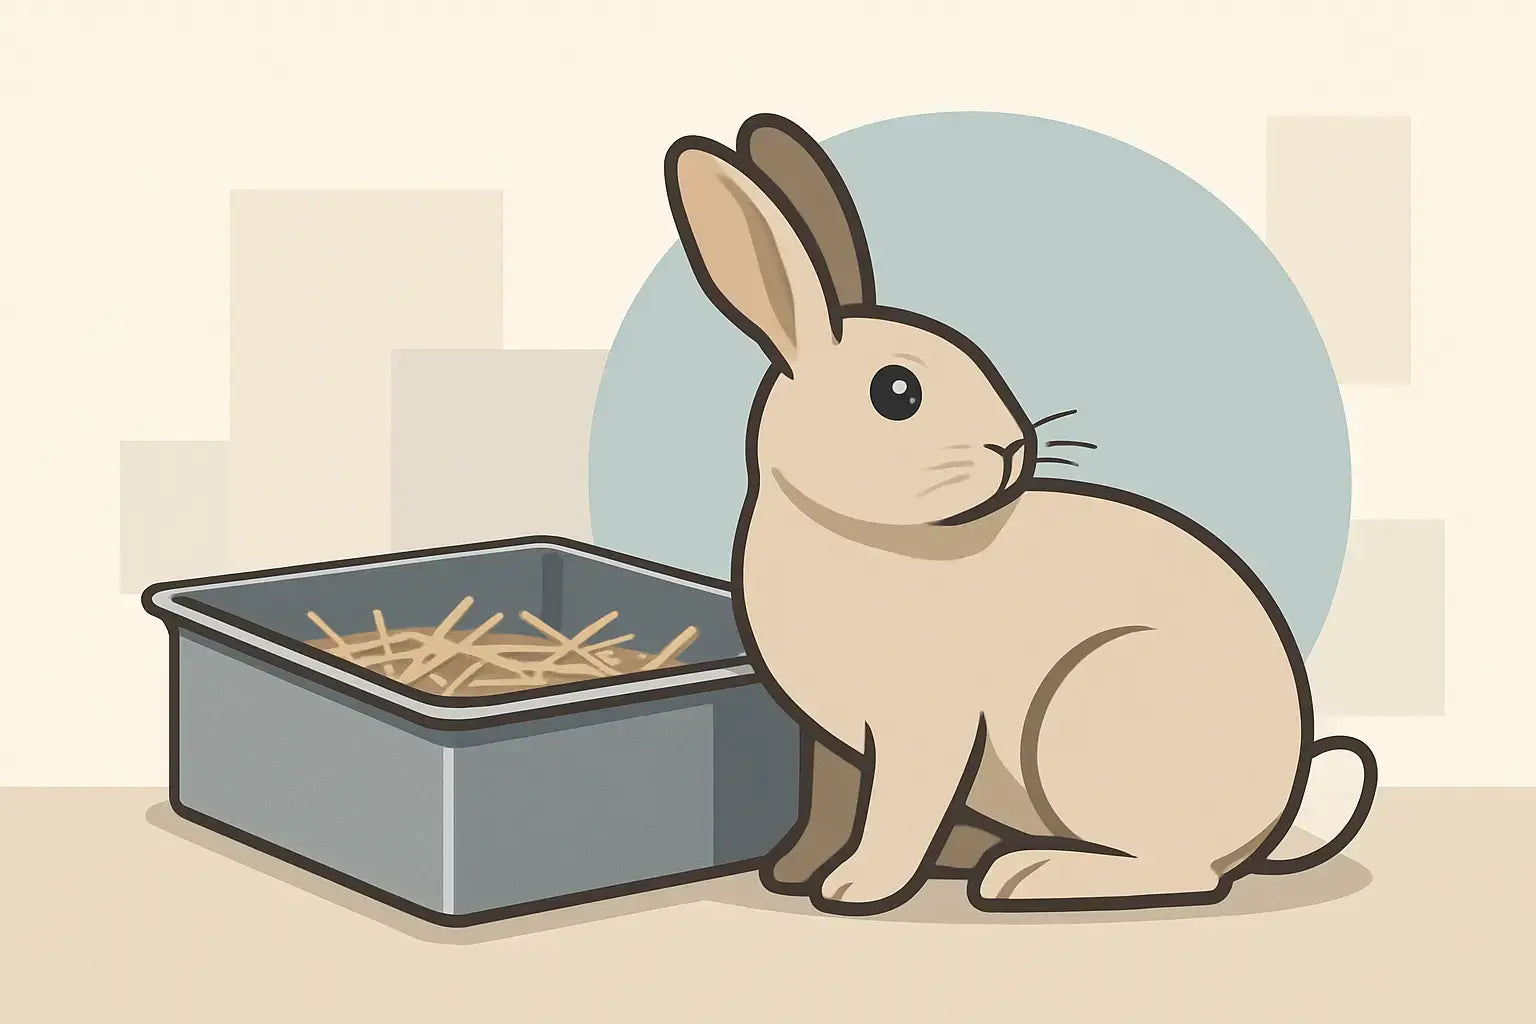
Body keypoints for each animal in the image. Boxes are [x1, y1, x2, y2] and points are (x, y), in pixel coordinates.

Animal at [663, 112, 1378, 916]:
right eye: (897, 392)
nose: (1012, 448)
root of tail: (1264, 825)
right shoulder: (837, 747)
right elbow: (834, 803)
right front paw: (795, 871)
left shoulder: (924, 729)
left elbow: (899, 810)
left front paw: (855, 886)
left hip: (1091, 717)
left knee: (1186, 872)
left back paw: (1023, 875)